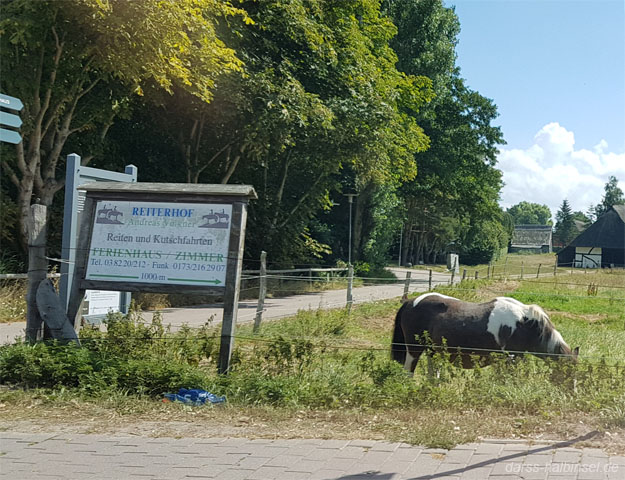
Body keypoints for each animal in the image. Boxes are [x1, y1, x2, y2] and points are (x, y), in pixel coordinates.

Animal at [392, 290, 576, 374]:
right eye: (569, 371)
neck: (524, 323)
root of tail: (410, 302)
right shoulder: (511, 359)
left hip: (433, 352)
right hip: (414, 350)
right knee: (409, 371)